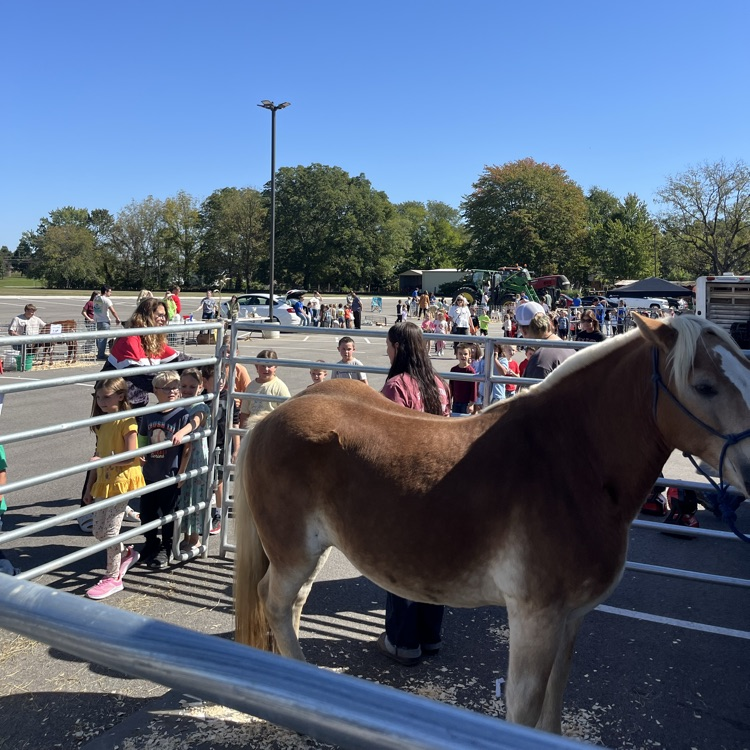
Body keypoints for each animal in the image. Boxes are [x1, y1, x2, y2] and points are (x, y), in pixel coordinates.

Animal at [233, 314, 750, 734]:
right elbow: (525, 708)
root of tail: (270, 419)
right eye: (705, 385)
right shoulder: (535, 617)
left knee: (292, 606)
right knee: (274, 603)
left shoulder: (571, 619)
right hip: (295, 555)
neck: (571, 464)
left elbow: (553, 703)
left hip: (312, 552)